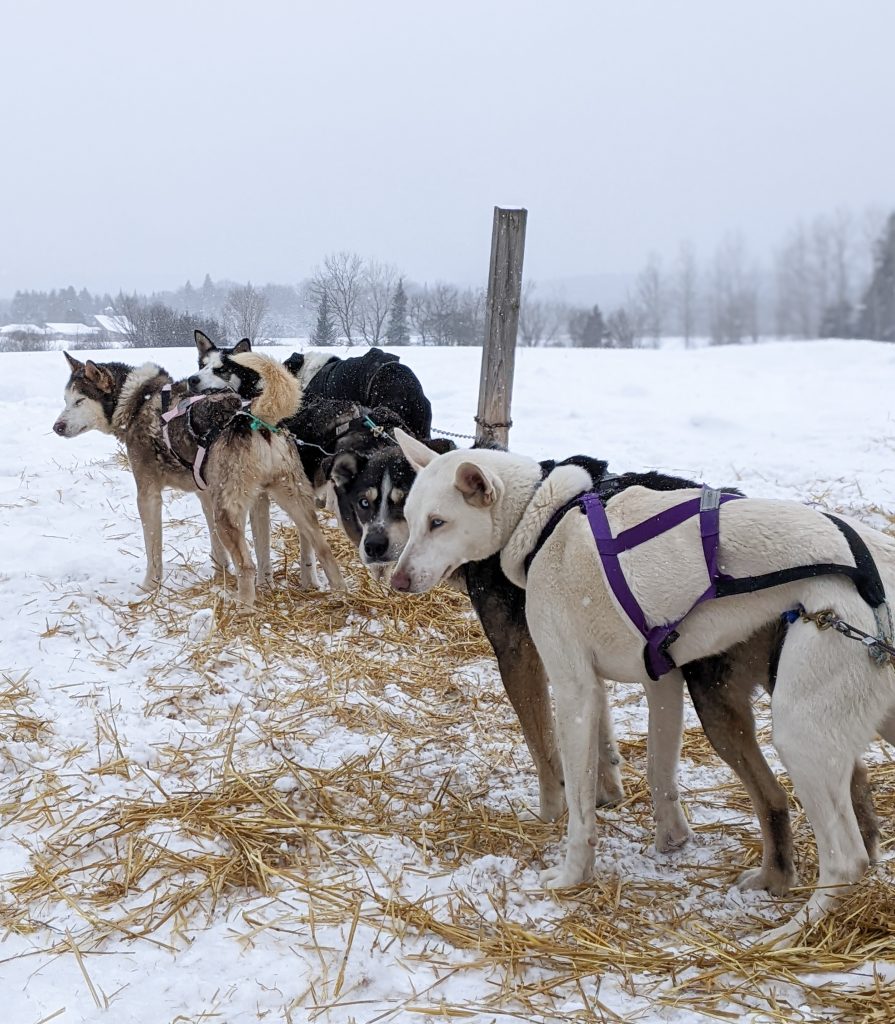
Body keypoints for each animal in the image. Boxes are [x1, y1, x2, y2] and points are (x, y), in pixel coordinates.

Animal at [389, 428, 892, 946]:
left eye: (438, 522)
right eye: (410, 516)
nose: (396, 579)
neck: (544, 516)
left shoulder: (571, 686)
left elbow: (577, 801)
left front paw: (571, 875)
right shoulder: (660, 679)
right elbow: (657, 773)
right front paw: (672, 841)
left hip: (799, 736)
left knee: (845, 859)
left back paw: (789, 934)